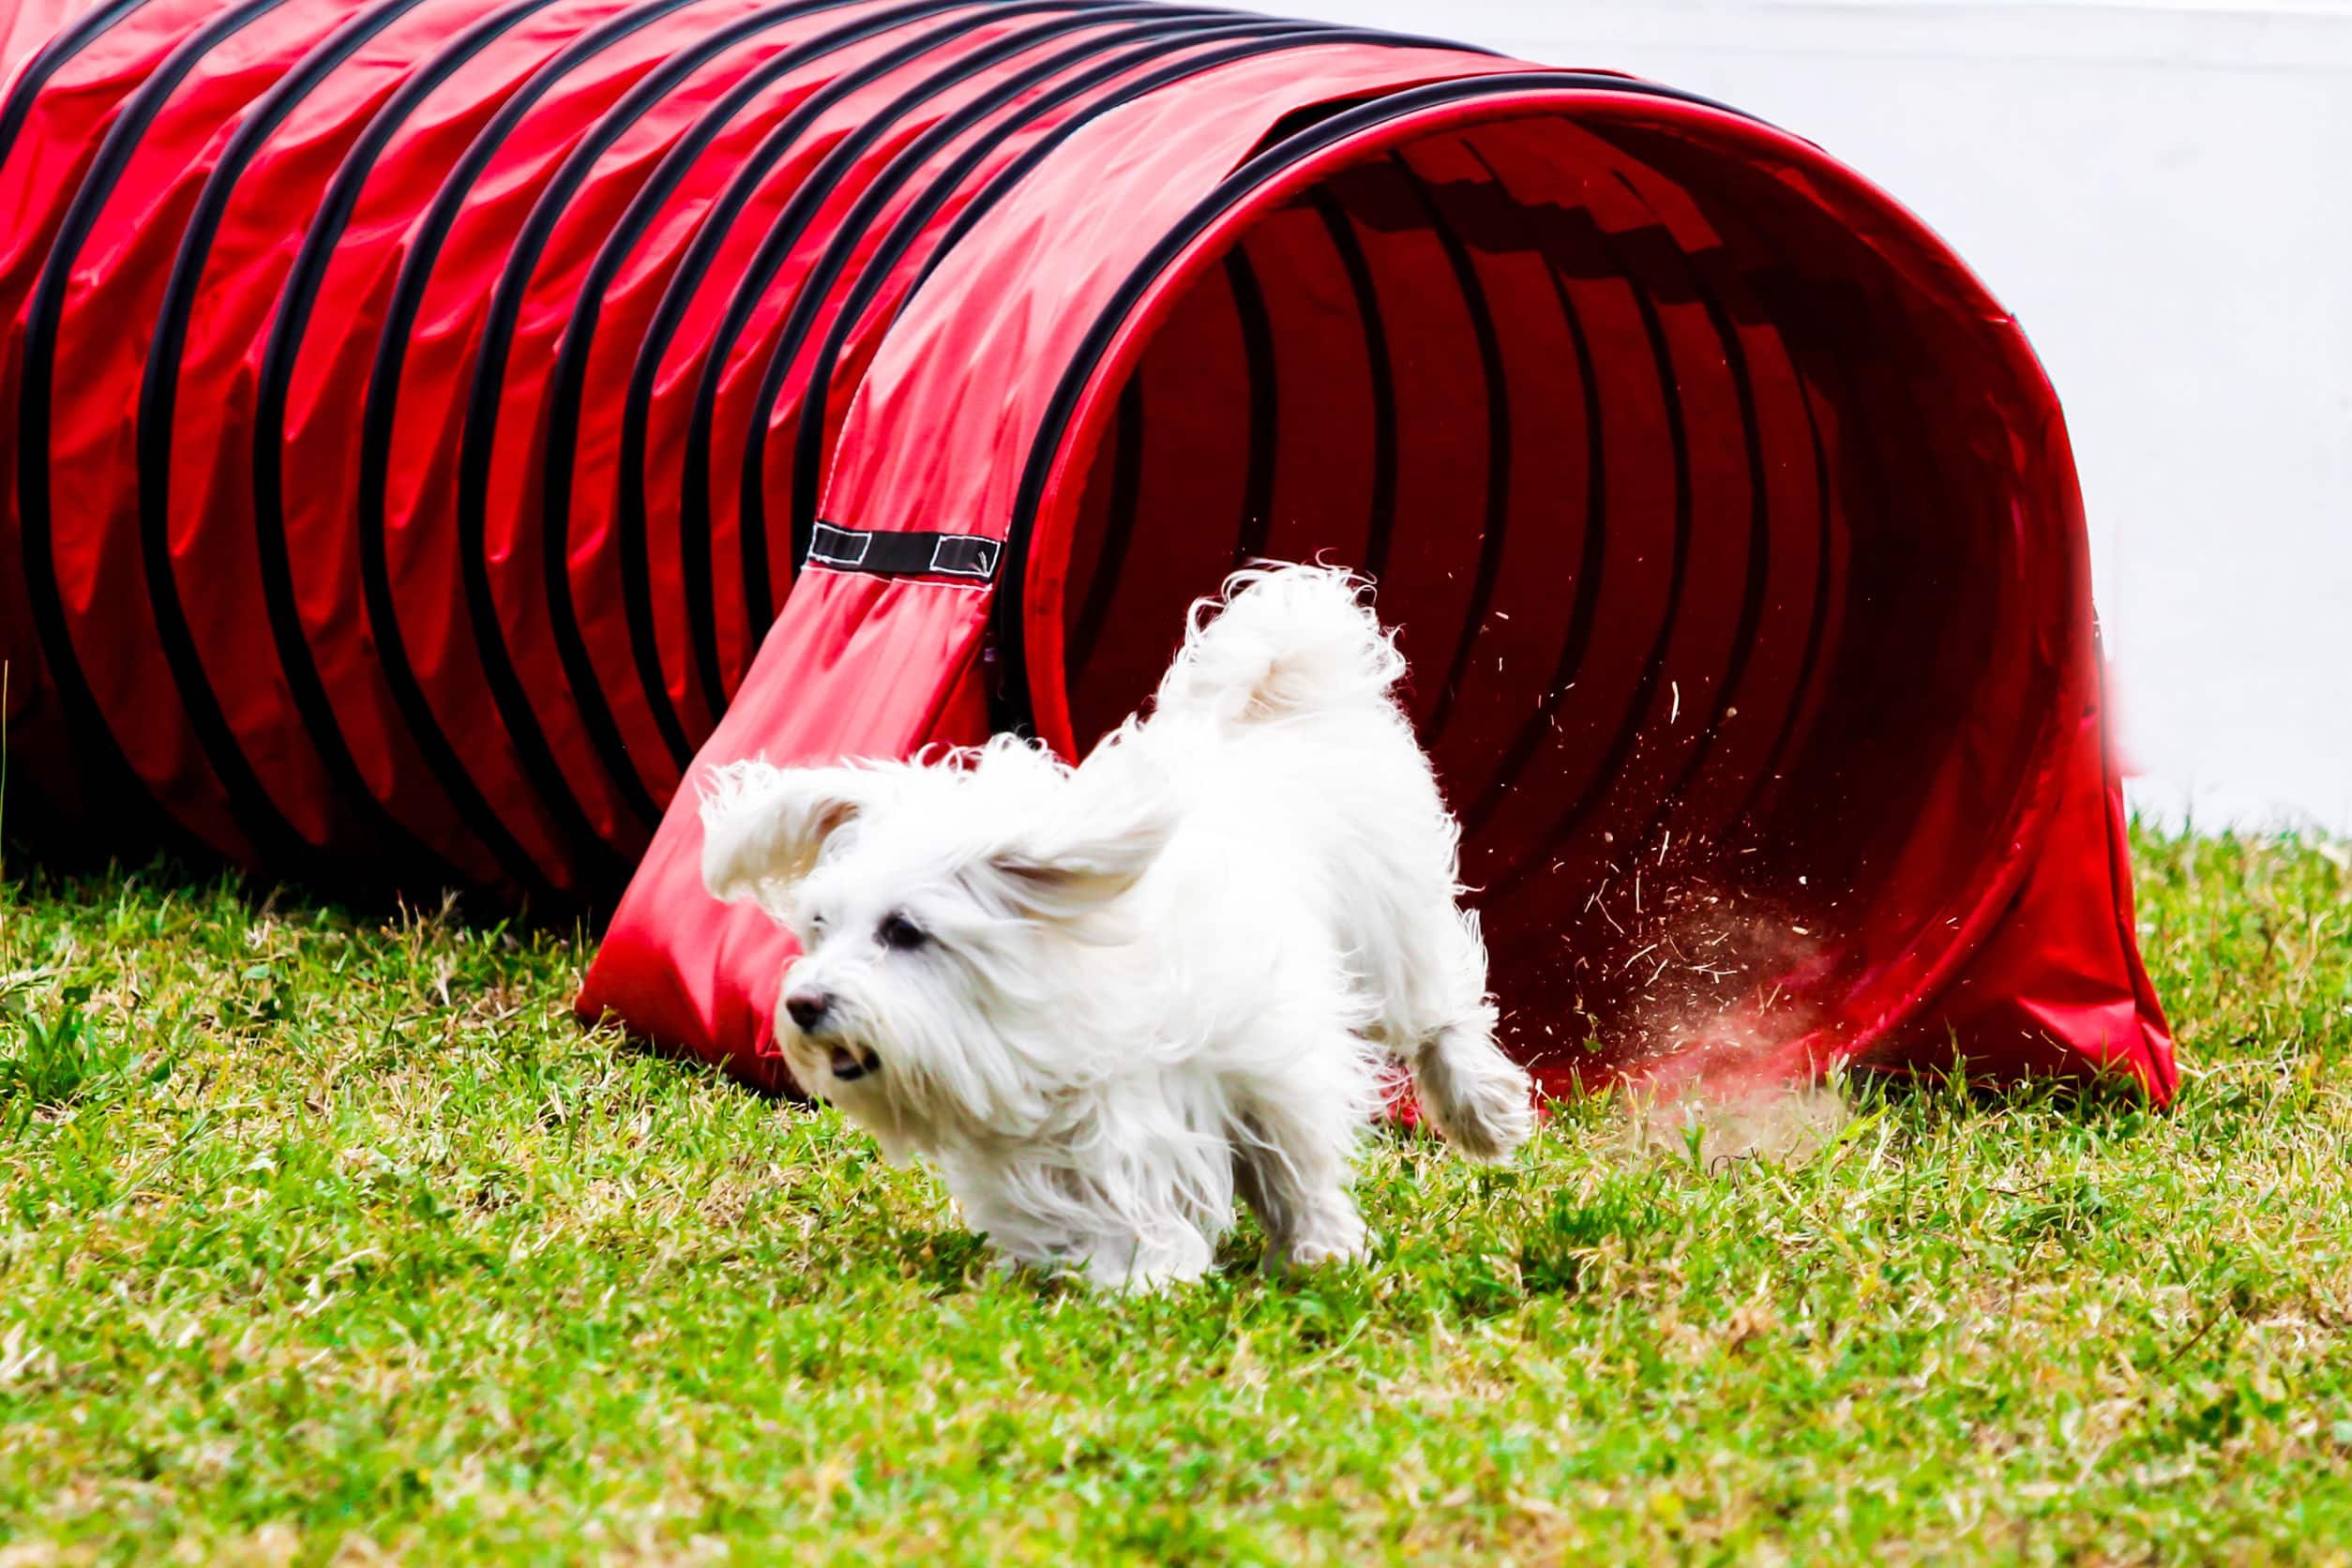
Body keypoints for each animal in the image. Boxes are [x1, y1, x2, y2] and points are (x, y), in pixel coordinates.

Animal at [691, 564, 1543, 1288]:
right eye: (818, 926)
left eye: (904, 931)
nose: (804, 1005)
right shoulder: (1060, 1134)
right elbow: (1093, 1201)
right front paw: (1133, 1268)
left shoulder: (1270, 1063)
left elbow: (1294, 1168)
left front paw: (1319, 1251)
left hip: (1392, 929)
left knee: (1439, 1015)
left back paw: (1484, 1113)